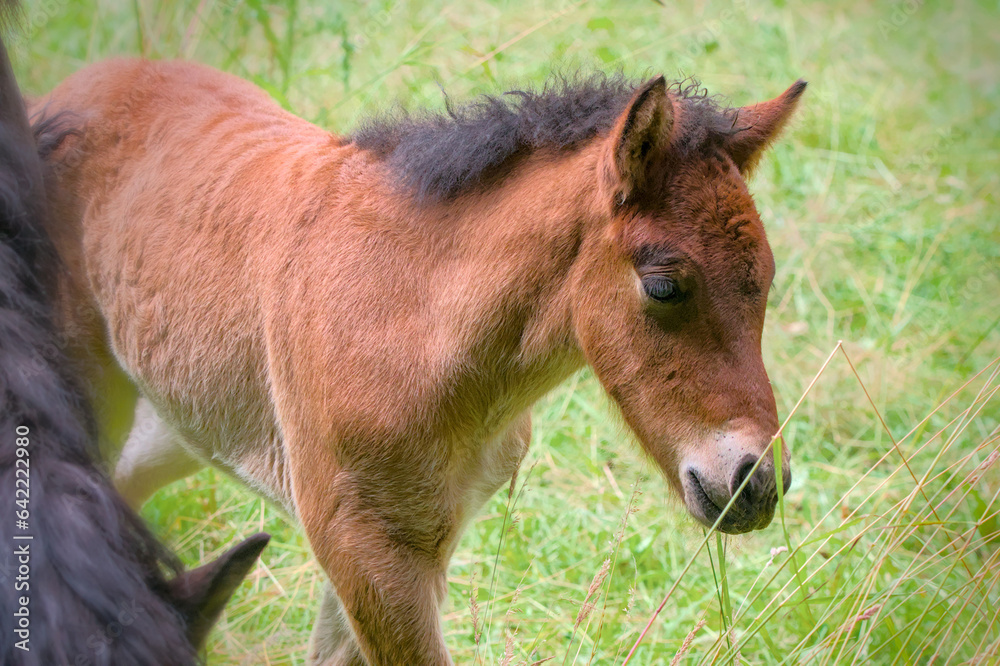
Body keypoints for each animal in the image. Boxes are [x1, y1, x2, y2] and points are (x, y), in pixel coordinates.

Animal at [31, 53, 804, 664]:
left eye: (766, 279)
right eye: (663, 285)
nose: (754, 483)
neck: (415, 319)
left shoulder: (415, 544)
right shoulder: (364, 547)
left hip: (180, 423)